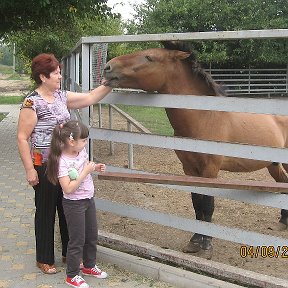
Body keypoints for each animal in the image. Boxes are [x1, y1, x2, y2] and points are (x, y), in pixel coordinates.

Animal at [103, 40, 288, 256]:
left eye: (149, 57)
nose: (108, 67)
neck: (205, 117)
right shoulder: (189, 169)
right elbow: (197, 203)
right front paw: (194, 240)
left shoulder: (210, 170)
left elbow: (207, 203)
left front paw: (206, 243)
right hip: (273, 164)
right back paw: (283, 221)